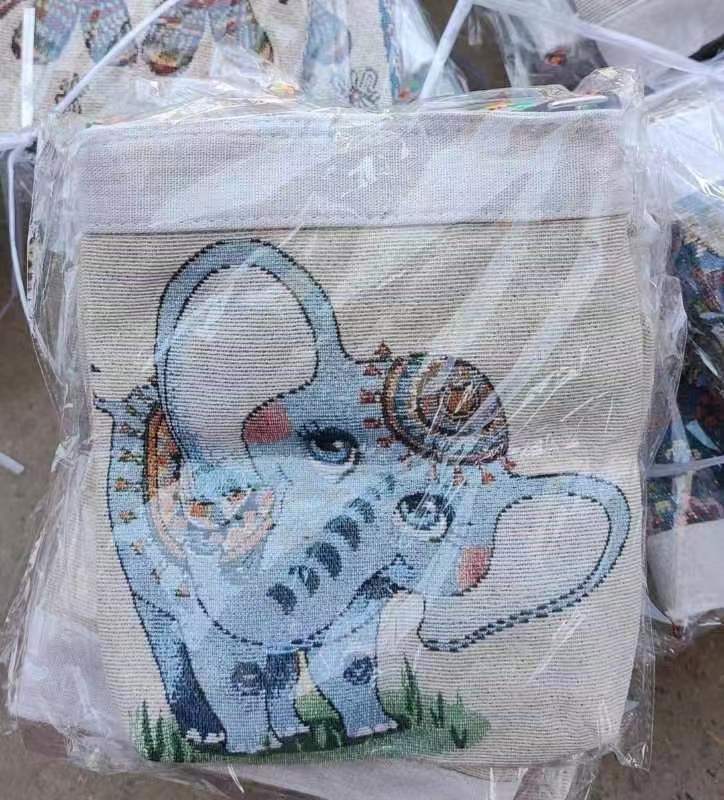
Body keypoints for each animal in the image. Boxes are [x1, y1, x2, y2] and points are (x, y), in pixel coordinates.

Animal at [96, 239, 631, 755]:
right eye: (331, 446)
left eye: (433, 515)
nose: (431, 636)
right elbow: (234, 667)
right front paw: (251, 750)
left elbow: (349, 660)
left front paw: (375, 730)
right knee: (171, 641)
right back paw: (215, 737)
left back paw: (293, 732)